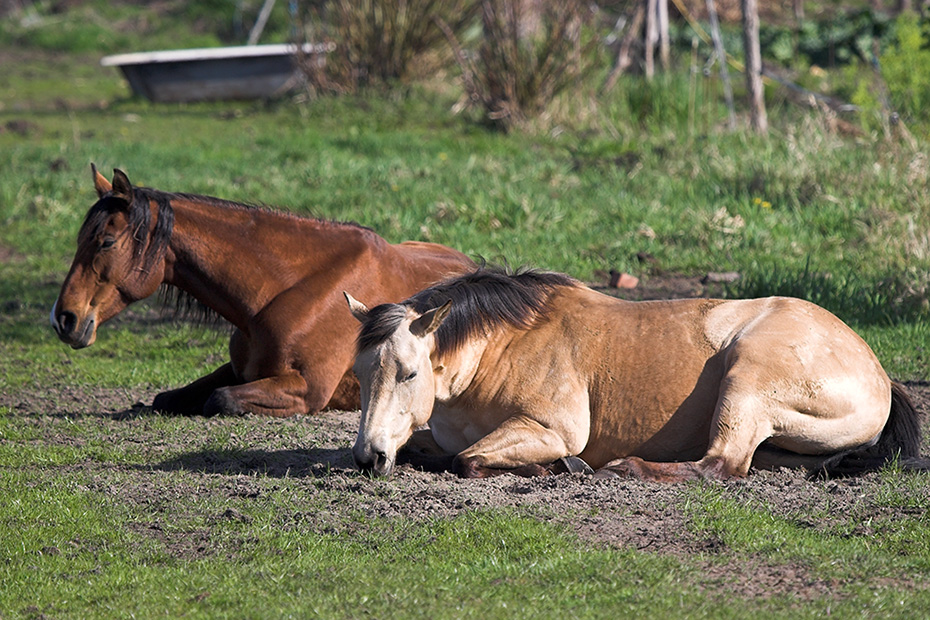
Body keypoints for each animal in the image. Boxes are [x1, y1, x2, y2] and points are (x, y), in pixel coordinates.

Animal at [49, 165, 472, 416]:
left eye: (105, 242)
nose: (63, 319)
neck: (286, 291)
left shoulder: (307, 390)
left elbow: (218, 399)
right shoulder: (241, 370)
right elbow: (165, 398)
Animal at [346, 266, 920, 480]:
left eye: (409, 374)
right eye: (360, 373)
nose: (368, 457)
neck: (503, 346)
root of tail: (877, 370)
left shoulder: (551, 430)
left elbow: (466, 460)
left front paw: (556, 468)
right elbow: (435, 451)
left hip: (746, 381)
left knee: (720, 466)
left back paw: (623, 468)